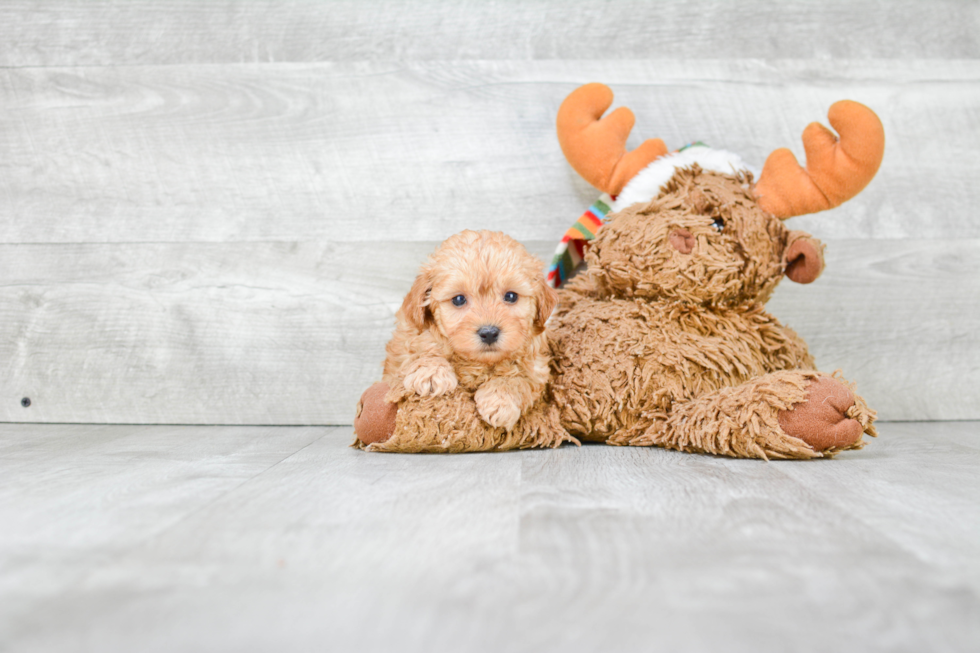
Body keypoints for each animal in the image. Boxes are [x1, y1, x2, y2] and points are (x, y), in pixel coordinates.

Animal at [384, 229, 560, 428]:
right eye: (459, 299)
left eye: (511, 296)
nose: (489, 333)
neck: (477, 362)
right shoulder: (406, 343)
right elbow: (421, 348)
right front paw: (431, 372)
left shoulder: (536, 370)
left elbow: (518, 380)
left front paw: (500, 401)